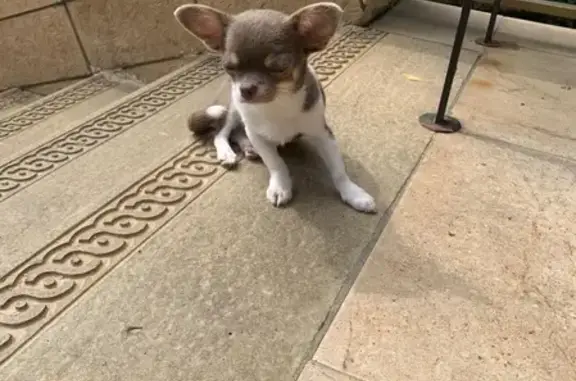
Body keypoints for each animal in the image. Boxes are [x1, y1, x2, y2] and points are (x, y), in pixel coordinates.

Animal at [173, 1, 376, 212]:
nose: (246, 89)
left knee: (236, 132)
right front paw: (280, 187)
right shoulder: (257, 135)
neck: (276, 104)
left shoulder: (323, 134)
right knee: (221, 133)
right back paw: (227, 153)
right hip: (231, 108)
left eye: (279, 68)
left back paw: (248, 148)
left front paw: (353, 193)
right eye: (229, 67)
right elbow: (276, 163)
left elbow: (338, 170)